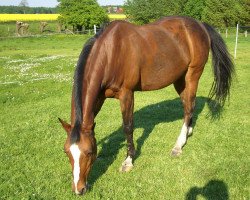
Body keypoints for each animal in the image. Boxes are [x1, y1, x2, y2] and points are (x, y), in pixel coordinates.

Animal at [59, 16, 234, 195]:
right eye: (66, 151)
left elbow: (128, 127)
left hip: (192, 75)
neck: (111, 52)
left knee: (189, 107)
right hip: (180, 78)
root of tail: (200, 25)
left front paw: (128, 161)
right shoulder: (99, 96)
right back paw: (188, 131)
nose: (79, 189)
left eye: (88, 152)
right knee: (188, 105)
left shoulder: (127, 94)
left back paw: (178, 145)